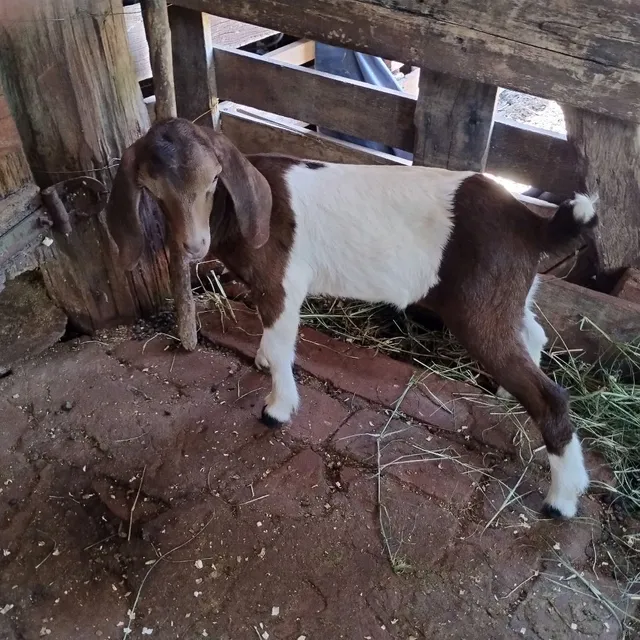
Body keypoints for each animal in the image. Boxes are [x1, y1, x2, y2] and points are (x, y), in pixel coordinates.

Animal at [105, 117, 598, 519]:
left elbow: (282, 341)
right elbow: (271, 336)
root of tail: (530, 225)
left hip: (481, 309)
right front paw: (262, 360)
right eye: (151, 188)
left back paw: (562, 499)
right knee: (534, 335)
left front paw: (277, 408)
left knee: (551, 395)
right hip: (509, 297)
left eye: (213, 180)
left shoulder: (282, 281)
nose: (194, 246)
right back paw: (504, 394)